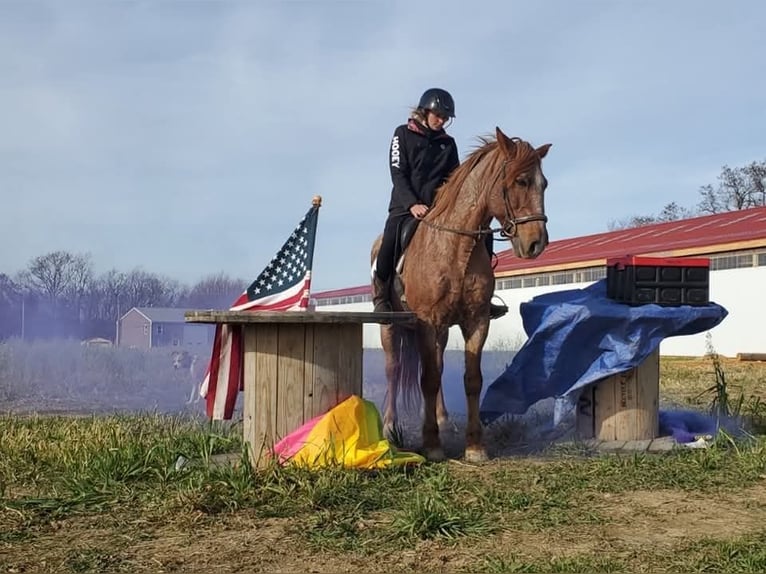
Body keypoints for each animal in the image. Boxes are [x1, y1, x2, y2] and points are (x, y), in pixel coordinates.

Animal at [372, 126, 552, 464]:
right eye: (520, 181)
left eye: (543, 184)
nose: (536, 244)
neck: (457, 248)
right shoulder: (427, 322)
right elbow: (427, 379)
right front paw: (431, 444)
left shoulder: (476, 321)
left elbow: (471, 379)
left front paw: (474, 445)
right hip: (391, 327)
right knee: (393, 368)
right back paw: (390, 426)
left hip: (441, 332)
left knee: (438, 365)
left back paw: (442, 419)